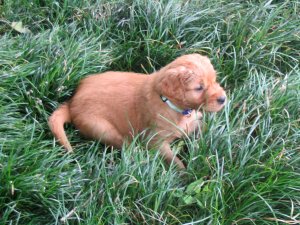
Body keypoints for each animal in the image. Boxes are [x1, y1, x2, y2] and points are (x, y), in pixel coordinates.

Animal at [48, 53, 225, 168]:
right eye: (199, 88)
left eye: (215, 80)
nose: (223, 99)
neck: (172, 105)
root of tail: (72, 102)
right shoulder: (156, 141)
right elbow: (175, 161)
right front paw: (184, 175)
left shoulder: (194, 121)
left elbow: (203, 128)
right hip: (102, 129)